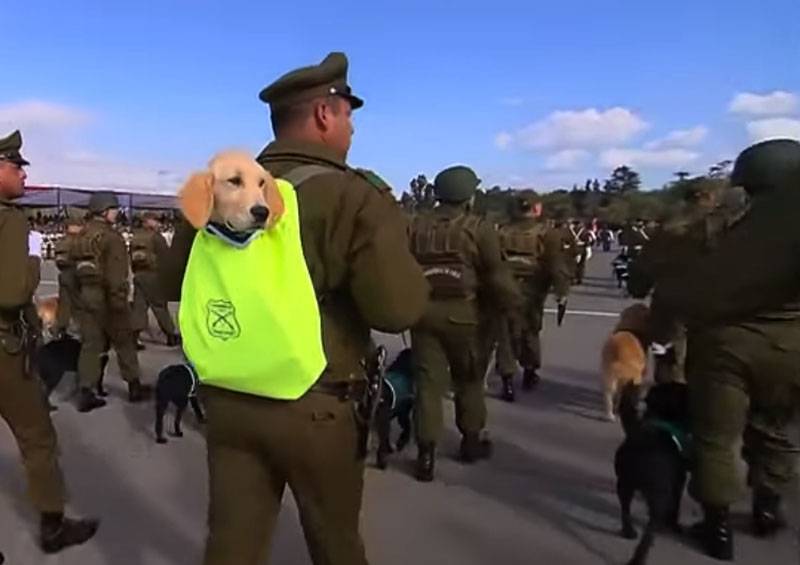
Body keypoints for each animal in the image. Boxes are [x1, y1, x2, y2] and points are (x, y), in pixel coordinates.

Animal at [616, 378, 692, 564]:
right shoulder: (678, 482)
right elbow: (675, 506)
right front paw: (674, 525)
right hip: (658, 497)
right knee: (648, 534)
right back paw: (639, 558)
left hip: (624, 484)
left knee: (625, 509)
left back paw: (628, 531)